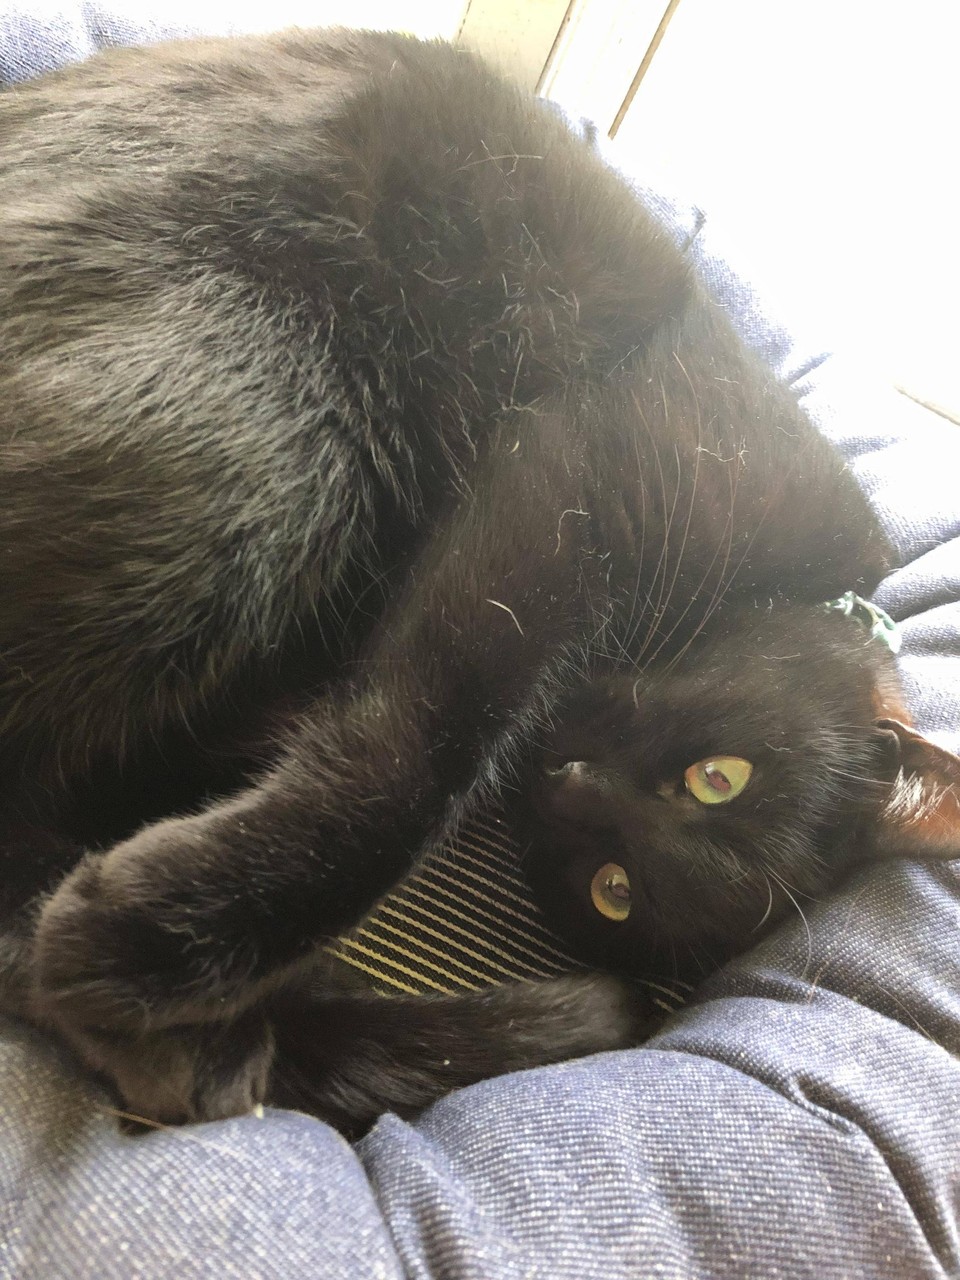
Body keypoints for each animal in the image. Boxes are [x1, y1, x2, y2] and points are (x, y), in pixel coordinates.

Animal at [1, 28, 958, 1135]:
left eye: (613, 888)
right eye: (723, 775)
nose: (569, 775)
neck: (781, 582)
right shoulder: (572, 485)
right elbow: (420, 747)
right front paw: (164, 940)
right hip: (272, 445)